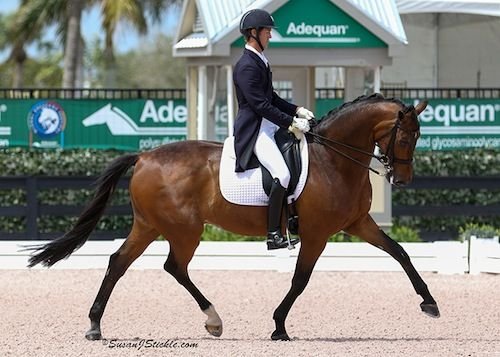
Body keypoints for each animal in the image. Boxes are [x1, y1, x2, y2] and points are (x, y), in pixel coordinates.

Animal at [28, 93, 442, 340]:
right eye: (407, 136)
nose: (403, 179)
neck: (334, 160)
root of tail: (143, 156)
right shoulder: (317, 233)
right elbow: (300, 280)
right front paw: (279, 327)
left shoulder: (359, 224)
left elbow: (401, 252)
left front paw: (429, 303)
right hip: (184, 229)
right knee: (173, 267)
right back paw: (213, 319)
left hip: (149, 226)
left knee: (119, 262)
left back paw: (95, 325)